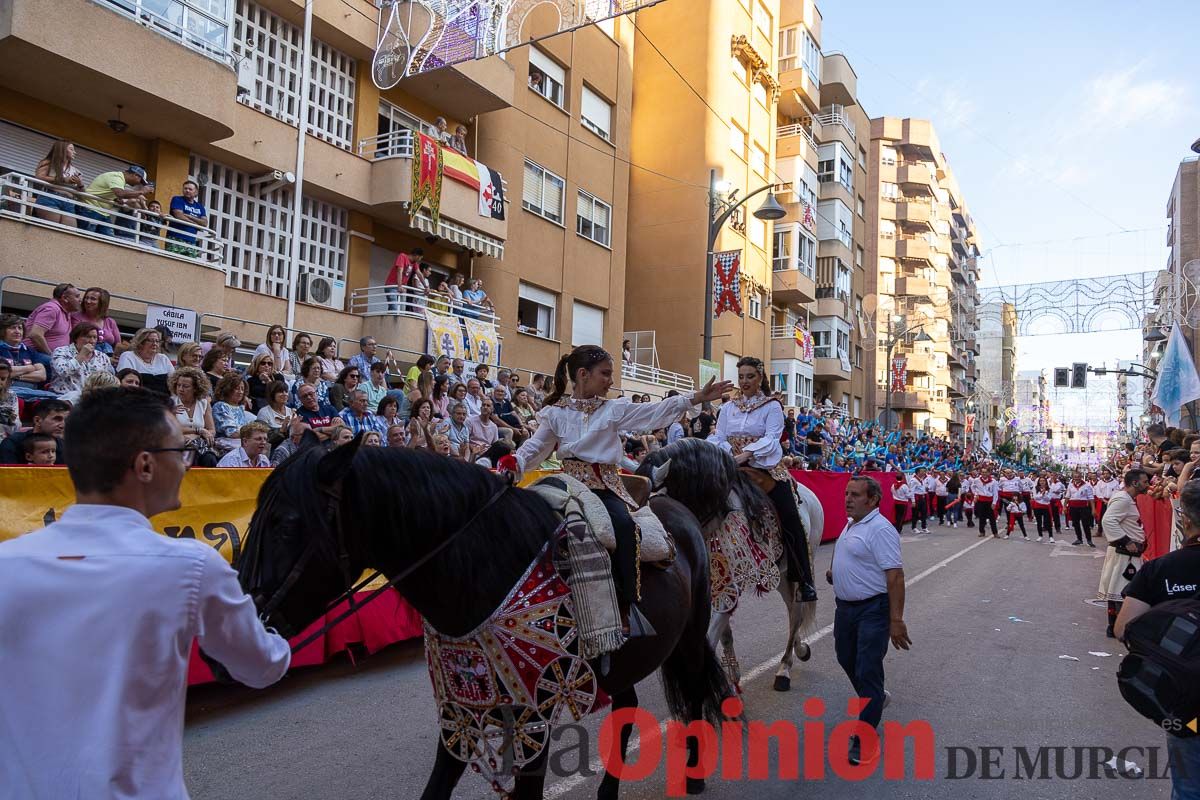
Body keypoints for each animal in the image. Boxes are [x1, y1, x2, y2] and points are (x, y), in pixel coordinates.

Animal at [229, 441, 724, 796]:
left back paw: (696, 774)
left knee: (695, 688)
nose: (242, 612)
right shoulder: (460, 711)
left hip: (690, 637)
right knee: (628, 707)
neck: (487, 567)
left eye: (286, 523)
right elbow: (436, 787)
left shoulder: (533, 715)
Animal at [638, 438, 825, 695]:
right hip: (780, 573)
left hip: (798, 570)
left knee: (796, 612)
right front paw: (732, 677)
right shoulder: (715, 588)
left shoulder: (729, 586)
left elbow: (710, 637)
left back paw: (784, 670)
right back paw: (799, 650)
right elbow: (724, 634)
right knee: (792, 610)